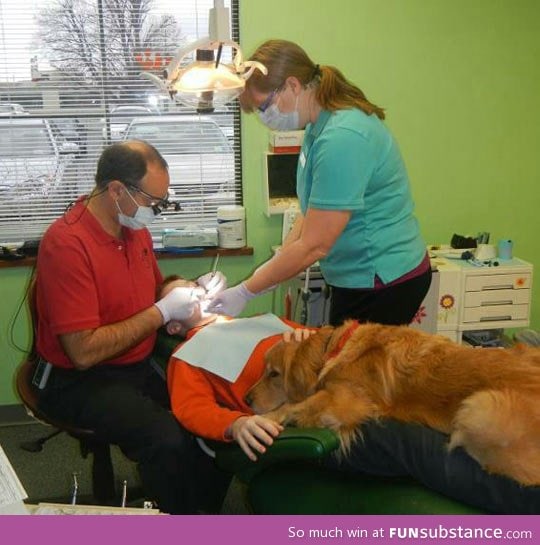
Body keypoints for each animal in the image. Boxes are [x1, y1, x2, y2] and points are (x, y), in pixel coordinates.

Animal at [245, 320, 540, 482]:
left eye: (274, 374)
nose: (246, 399)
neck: (336, 348)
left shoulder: (346, 401)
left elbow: (294, 405)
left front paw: (265, 418)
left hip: (478, 407)